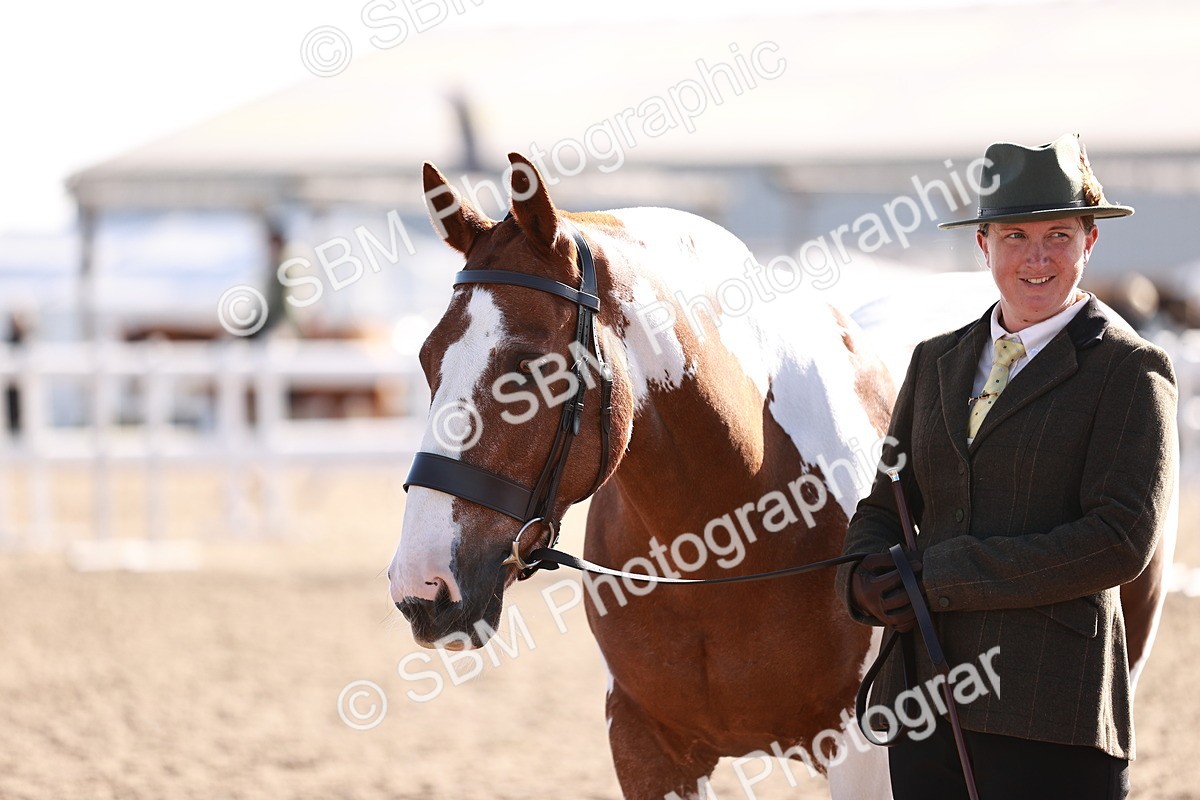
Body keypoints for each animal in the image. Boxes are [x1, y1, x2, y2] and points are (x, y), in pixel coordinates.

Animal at [388, 153, 1174, 799]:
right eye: (426, 359)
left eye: (530, 370)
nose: (423, 588)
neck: (725, 536)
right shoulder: (648, 747)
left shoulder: (865, 754)